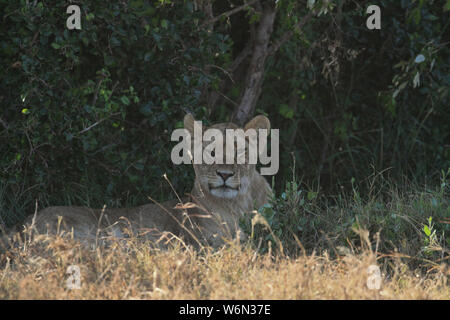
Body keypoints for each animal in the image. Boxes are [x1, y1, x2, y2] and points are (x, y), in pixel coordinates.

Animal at [4, 114, 270, 249]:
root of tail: (18, 226)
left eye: (240, 152)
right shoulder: (205, 244)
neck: (235, 206)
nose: (224, 175)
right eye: (210, 152)